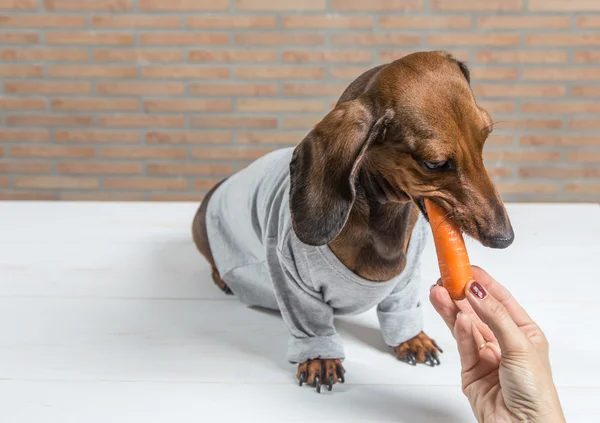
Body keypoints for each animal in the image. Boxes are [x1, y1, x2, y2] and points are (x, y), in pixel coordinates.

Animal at [193, 52, 516, 394]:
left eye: (485, 136)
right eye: (433, 163)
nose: (504, 238)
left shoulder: (406, 279)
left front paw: (412, 340)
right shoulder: (292, 281)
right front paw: (319, 359)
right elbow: (312, 322)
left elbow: (400, 308)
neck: (383, 223)